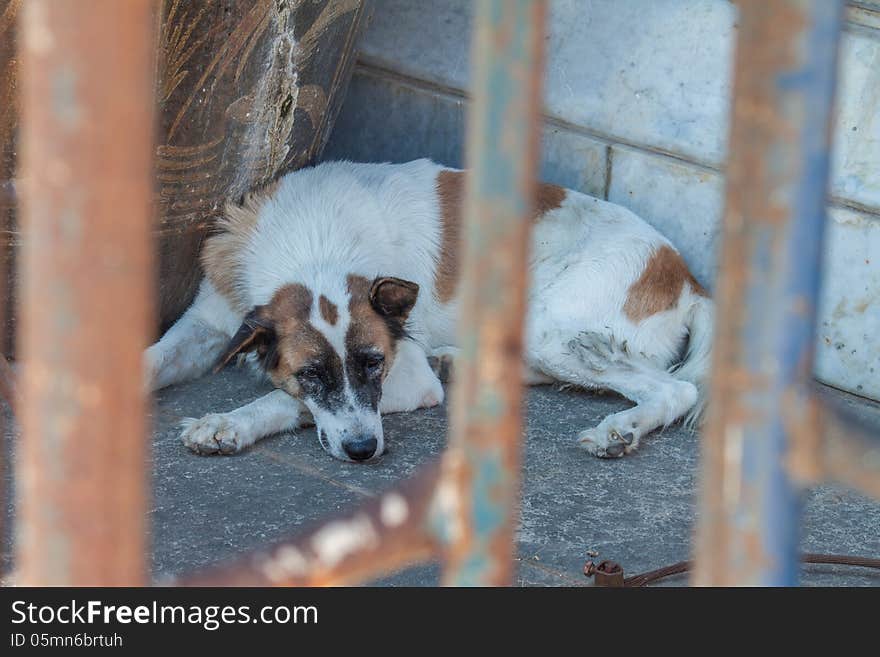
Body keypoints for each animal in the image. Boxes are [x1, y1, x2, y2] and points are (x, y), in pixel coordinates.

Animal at [143, 159, 708, 462]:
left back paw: (620, 431)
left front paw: (227, 423)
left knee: (675, 388)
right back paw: (457, 361)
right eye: (311, 372)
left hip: (553, 327)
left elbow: (283, 401)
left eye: (374, 364)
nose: (363, 451)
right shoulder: (211, 318)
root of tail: (687, 276)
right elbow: (152, 360)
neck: (313, 248)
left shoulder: (408, 379)